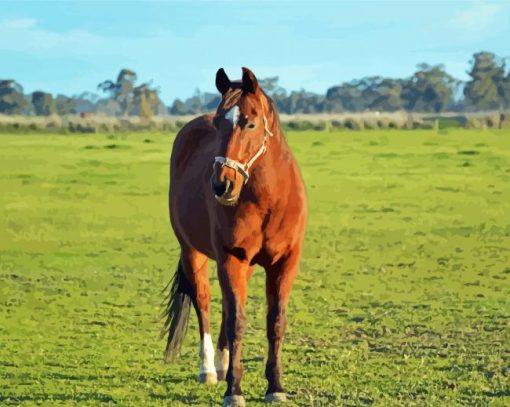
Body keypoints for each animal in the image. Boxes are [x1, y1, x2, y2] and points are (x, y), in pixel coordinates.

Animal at [163, 67, 306, 407]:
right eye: (219, 123)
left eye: (250, 123)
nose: (221, 185)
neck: (269, 200)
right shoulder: (231, 259)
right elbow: (237, 322)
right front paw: (234, 390)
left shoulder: (284, 263)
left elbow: (275, 322)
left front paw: (275, 386)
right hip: (193, 252)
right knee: (204, 302)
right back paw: (209, 369)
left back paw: (224, 363)